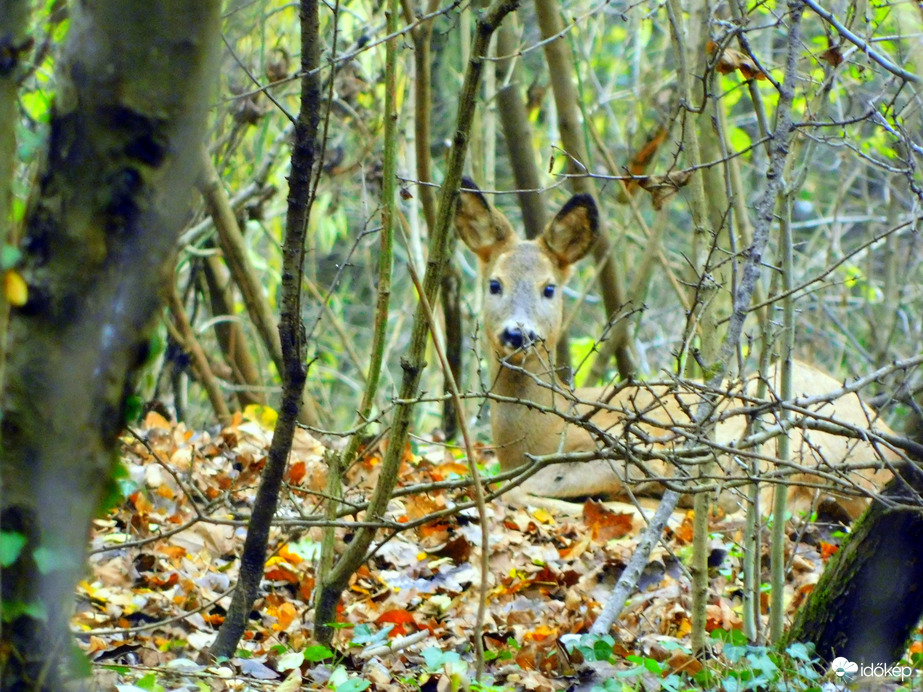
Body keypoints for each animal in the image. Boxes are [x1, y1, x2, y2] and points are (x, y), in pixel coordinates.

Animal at [458, 180, 900, 520]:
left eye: (549, 288)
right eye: (495, 284)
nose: (518, 334)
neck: (544, 430)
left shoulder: (619, 443)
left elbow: (516, 489)